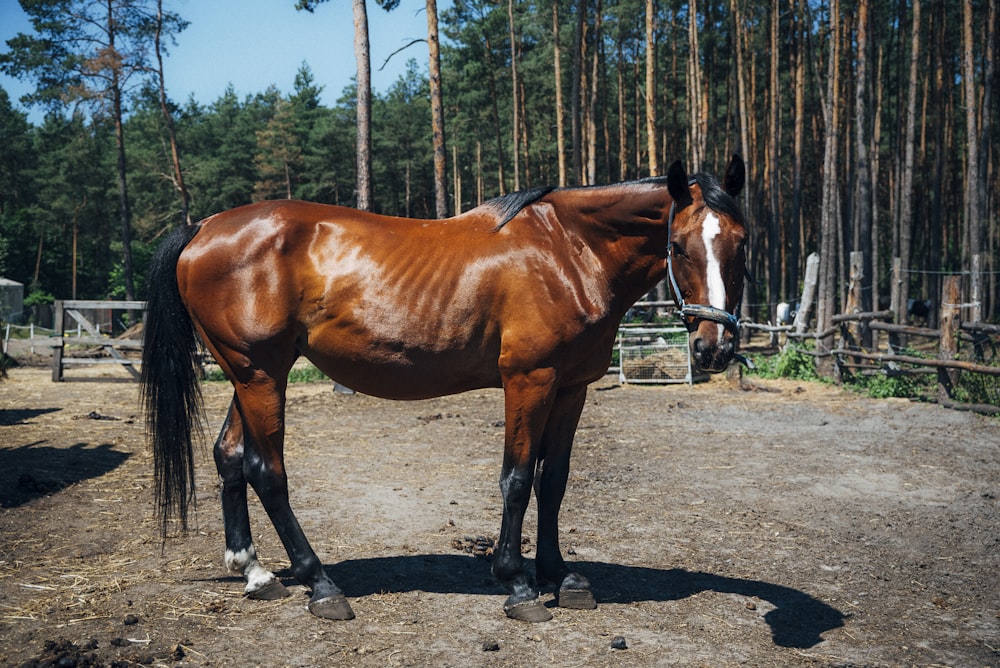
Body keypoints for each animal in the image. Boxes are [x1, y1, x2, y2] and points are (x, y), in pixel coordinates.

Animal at [145, 154, 748, 624]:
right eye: (678, 245)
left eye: (742, 243)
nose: (714, 347)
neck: (569, 251)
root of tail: (203, 228)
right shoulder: (529, 380)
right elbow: (517, 480)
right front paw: (518, 584)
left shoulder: (571, 387)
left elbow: (553, 481)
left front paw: (561, 577)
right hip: (261, 375)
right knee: (266, 471)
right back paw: (321, 585)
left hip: (250, 373)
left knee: (229, 455)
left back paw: (254, 571)